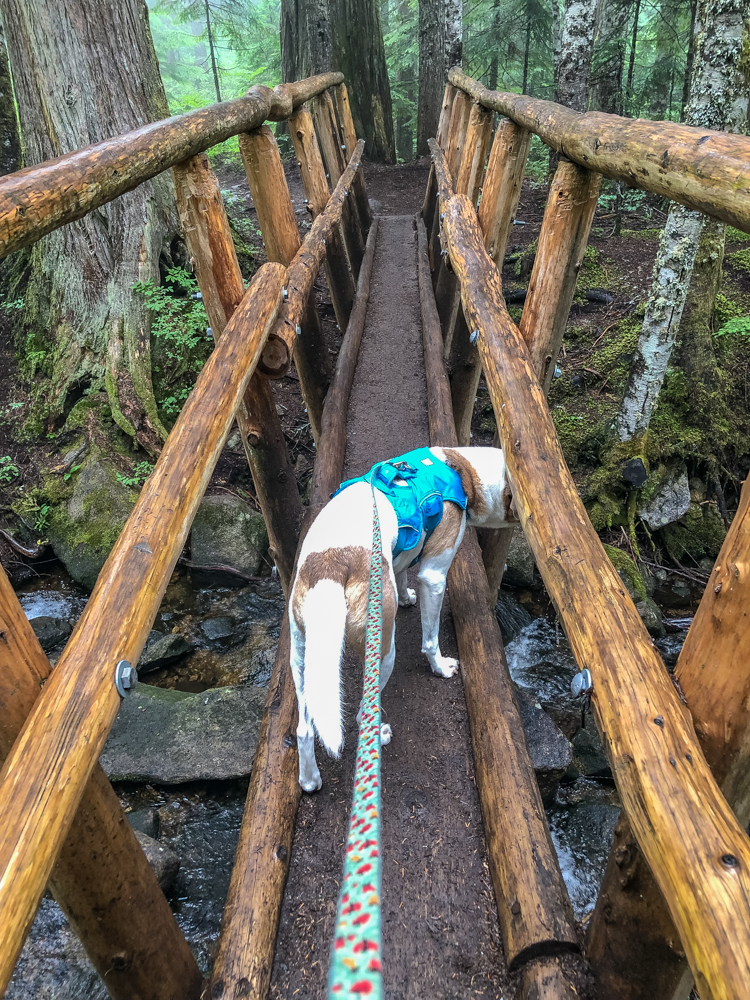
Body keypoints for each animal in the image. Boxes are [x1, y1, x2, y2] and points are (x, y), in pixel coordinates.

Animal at [290, 450, 516, 792]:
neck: (462, 466)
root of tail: (331, 564)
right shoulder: (434, 577)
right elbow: (431, 639)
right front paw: (441, 667)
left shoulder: (402, 557)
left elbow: (402, 573)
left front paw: (407, 597)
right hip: (382, 652)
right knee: (361, 716)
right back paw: (380, 735)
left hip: (302, 655)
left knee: (304, 729)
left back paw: (310, 780)